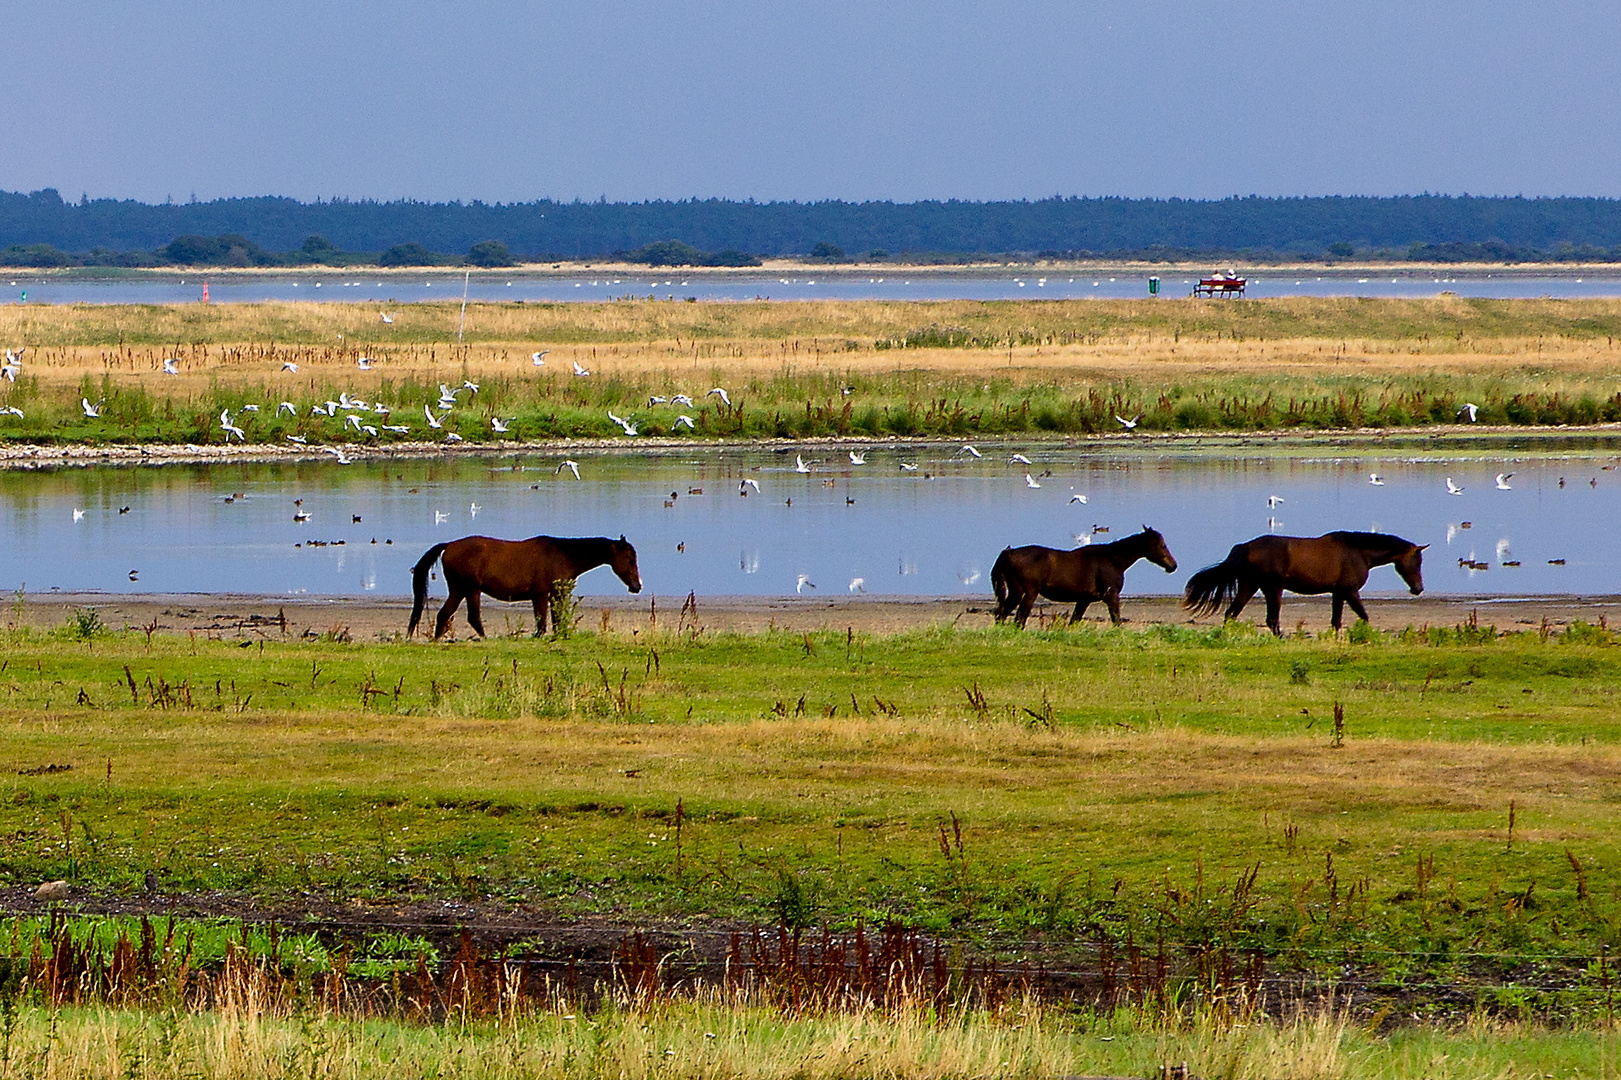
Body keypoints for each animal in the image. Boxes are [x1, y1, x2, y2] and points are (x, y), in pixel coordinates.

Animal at [408, 531, 641, 638]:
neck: (562, 556)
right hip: (471, 589)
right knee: (472, 616)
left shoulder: (555, 596)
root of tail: (449, 546)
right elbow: (542, 624)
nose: (637, 586)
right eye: (630, 559)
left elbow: (556, 621)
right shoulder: (541, 595)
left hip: (458, 590)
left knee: (444, 615)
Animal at [985, 525, 1180, 625]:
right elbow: (1116, 620)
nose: (1173, 565)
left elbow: (1074, 621)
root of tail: (1008, 553)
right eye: (1162, 545)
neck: (1112, 559)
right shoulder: (1112, 596)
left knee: (1002, 614)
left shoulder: (1084, 600)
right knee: (1017, 618)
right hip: (1026, 593)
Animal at [1186, 528, 1426, 632]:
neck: (1358, 552)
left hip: (1250, 585)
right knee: (1271, 620)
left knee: (1231, 613)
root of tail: (1246, 547)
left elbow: (1336, 621)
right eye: (1417, 561)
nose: (1419, 589)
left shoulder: (1338, 593)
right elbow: (1363, 616)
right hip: (1273, 588)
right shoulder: (1350, 591)